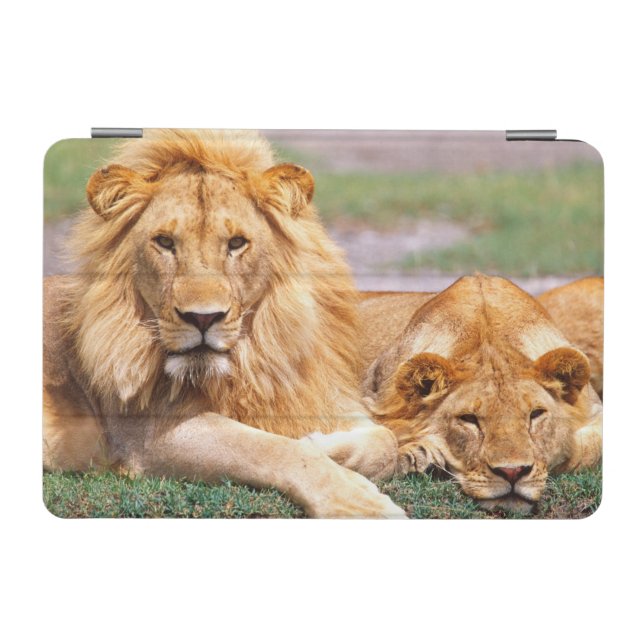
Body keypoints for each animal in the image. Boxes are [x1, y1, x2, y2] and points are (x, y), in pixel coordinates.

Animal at [43, 129, 404, 518]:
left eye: (236, 243)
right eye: (165, 242)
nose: (203, 317)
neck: (247, 363)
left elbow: (386, 440)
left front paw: (325, 445)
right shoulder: (146, 435)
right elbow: (272, 448)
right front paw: (357, 501)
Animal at [358, 275, 602, 513]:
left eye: (536, 414)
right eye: (469, 419)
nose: (512, 472)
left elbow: (588, 448)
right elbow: (385, 439)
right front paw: (418, 456)